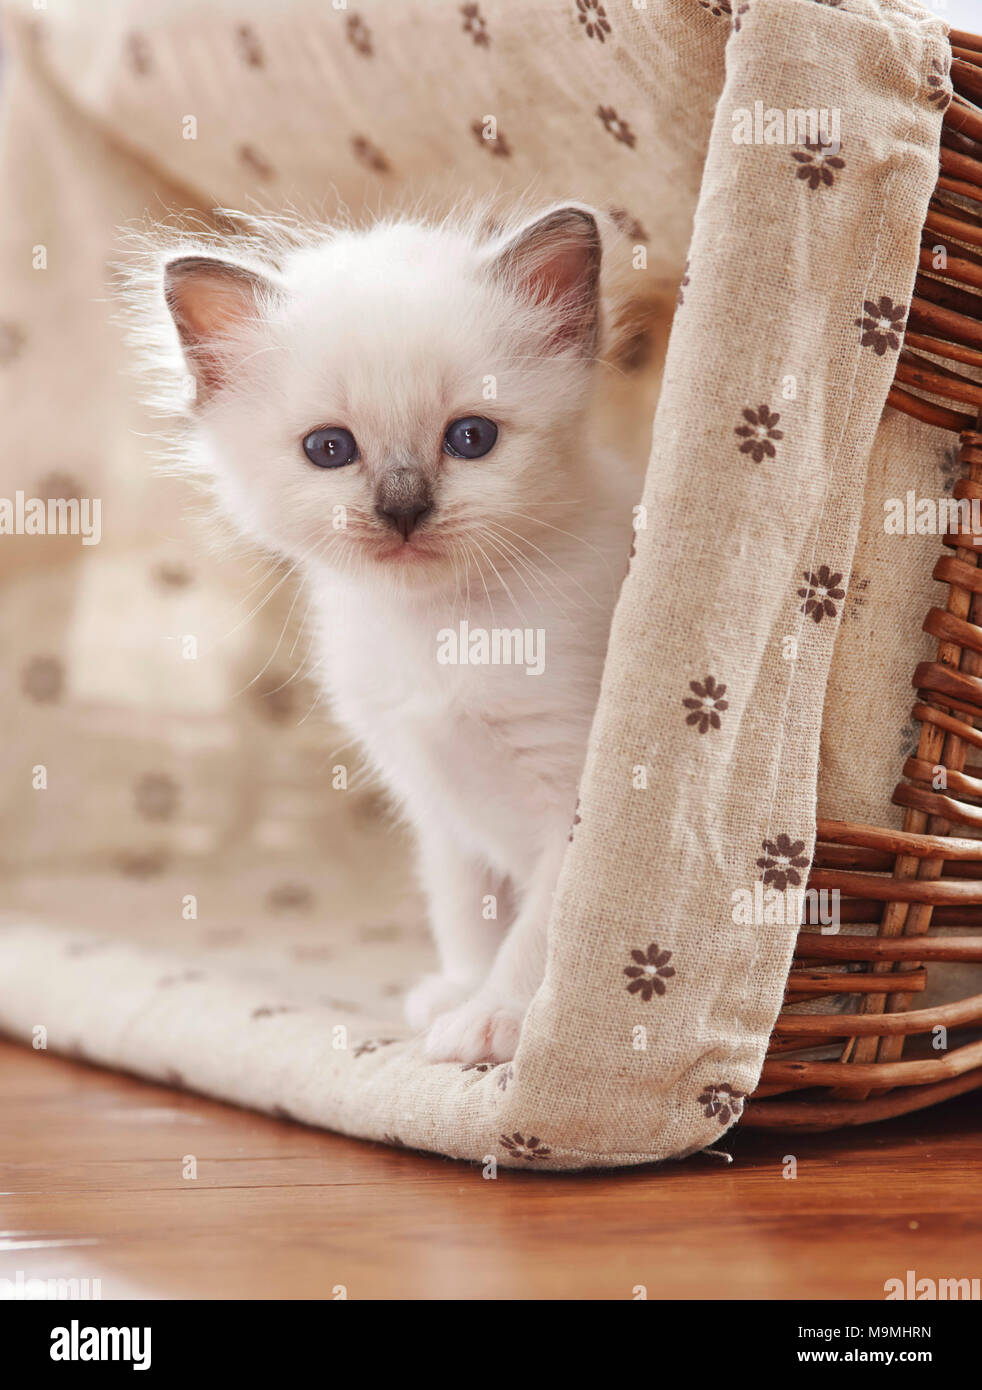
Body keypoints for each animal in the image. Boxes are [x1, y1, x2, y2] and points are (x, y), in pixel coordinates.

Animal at [153, 198, 642, 1061]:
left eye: (471, 438)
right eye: (329, 449)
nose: (403, 509)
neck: (437, 629)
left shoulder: (576, 801)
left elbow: (540, 934)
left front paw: (498, 1022)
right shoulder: (440, 810)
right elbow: (469, 917)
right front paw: (460, 993)